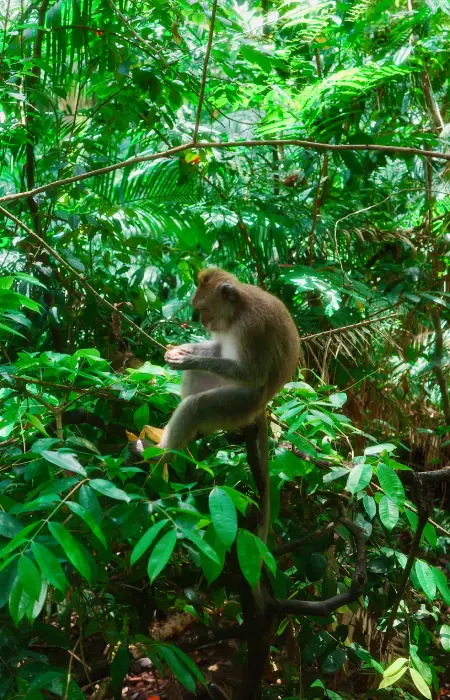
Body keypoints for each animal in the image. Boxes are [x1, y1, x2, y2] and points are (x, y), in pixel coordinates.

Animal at [158, 267, 300, 542]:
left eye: (203, 308)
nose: (204, 322)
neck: (237, 313)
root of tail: (261, 407)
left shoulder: (251, 328)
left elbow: (253, 373)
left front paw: (187, 359)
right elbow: (217, 348)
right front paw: (183, 349)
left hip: (241, 405)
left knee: (198, 406)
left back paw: (161, 455)